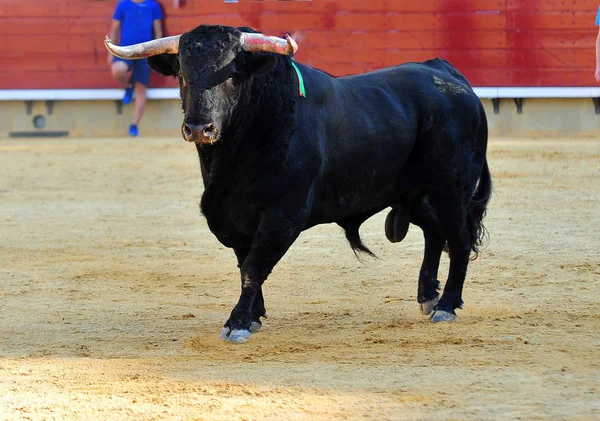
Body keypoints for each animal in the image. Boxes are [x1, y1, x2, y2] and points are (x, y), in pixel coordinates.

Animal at [115, 25, 490, 342]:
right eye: (182, 74)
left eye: (232, 75)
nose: (198, 127)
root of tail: (447, 74)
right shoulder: (232, 217)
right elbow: (244, 263)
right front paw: (255, 315)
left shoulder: (283, 215)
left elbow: (253, 266)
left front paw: (238, 323)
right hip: (414, 193)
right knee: (435, 232)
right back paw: (428, 296)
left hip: (451, 189)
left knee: (459, 239)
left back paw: (446, 305)